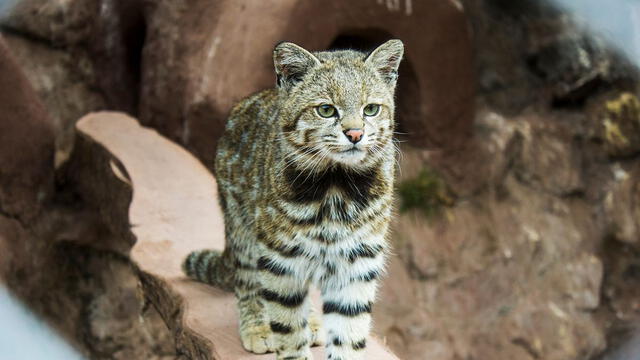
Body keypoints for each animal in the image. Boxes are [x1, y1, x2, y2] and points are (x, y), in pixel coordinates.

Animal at [185, 39, 402, 360]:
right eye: (326, 110)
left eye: (371, 109)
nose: (355, 134)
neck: (336, 185)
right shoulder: (281, 258)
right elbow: (287, 327)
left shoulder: (357, 261)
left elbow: (349, 332)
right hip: (242, 228)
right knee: (247, 280)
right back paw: (256, 326)